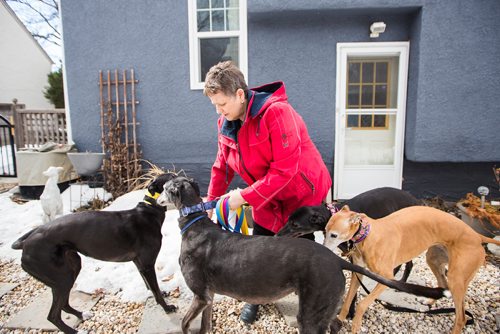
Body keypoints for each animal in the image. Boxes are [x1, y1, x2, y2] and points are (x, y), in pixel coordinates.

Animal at [10, 174, 180, 332]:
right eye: (171, 179)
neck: (149, 211)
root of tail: (26, 243)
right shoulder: (147, 264)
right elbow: (154, 289)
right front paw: (167, 307)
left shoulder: (139, 263)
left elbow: (150, 286)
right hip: (61, 277)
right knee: (53, 315)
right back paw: (76, 331)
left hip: (69, 268)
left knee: (63, 304)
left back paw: (82, 315)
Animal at [157, 176, 446, 332]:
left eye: (165, 187)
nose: (157, 199)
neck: (196, 224)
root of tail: (336, 260)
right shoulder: (208, 298)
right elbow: (205, 327)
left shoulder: (200, 296)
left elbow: (184, 325)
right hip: (324, 308)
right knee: (335, 324)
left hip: (311, 312)